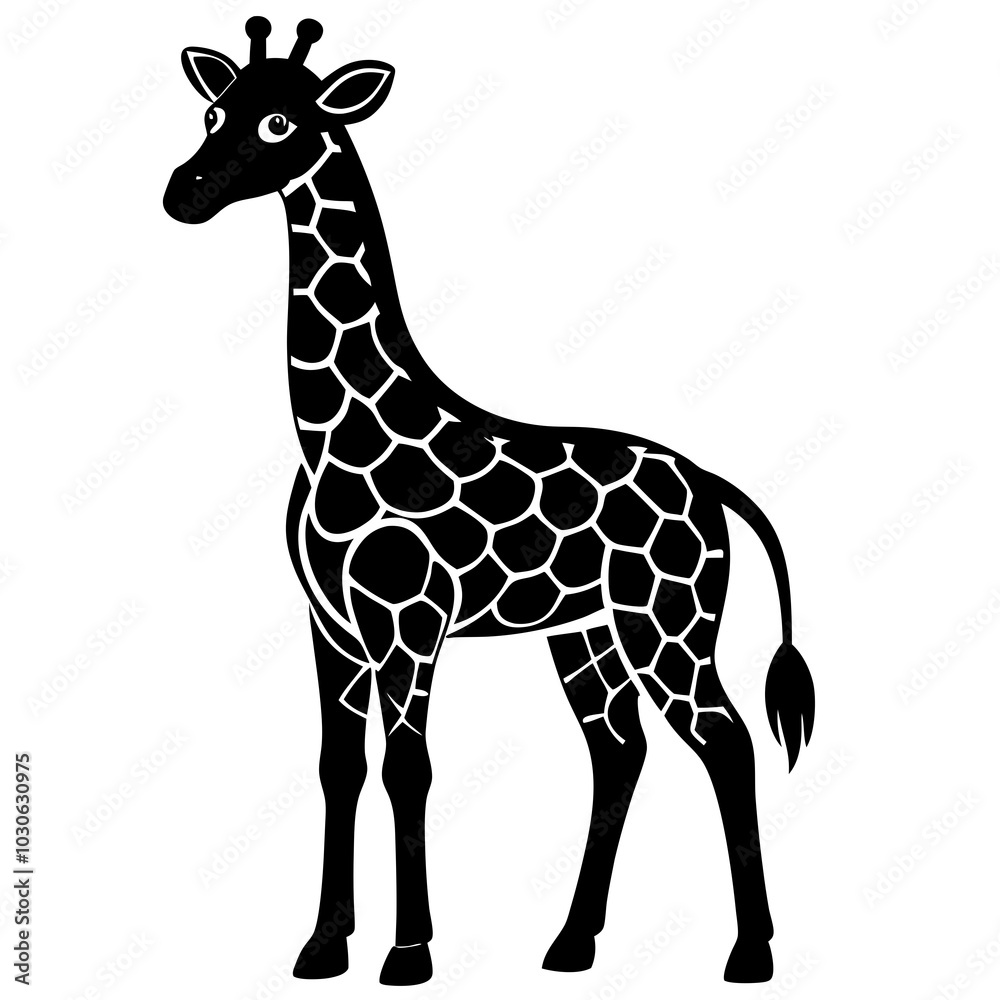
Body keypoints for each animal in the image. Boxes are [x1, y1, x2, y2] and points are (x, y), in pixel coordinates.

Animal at [163, 18, 816, 987]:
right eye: (213, 111)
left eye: (280, 122)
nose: (185, 192)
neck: (330, 432)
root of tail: (709, 483)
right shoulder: (331, 624)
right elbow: (337, 767)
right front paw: (322, 946)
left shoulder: (408, 619)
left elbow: (408, 766)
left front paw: (408, 953)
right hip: (585, 632)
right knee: (621, 749)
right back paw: (573, 943)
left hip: (668, 621)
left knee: (724, 739)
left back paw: (751, 953)